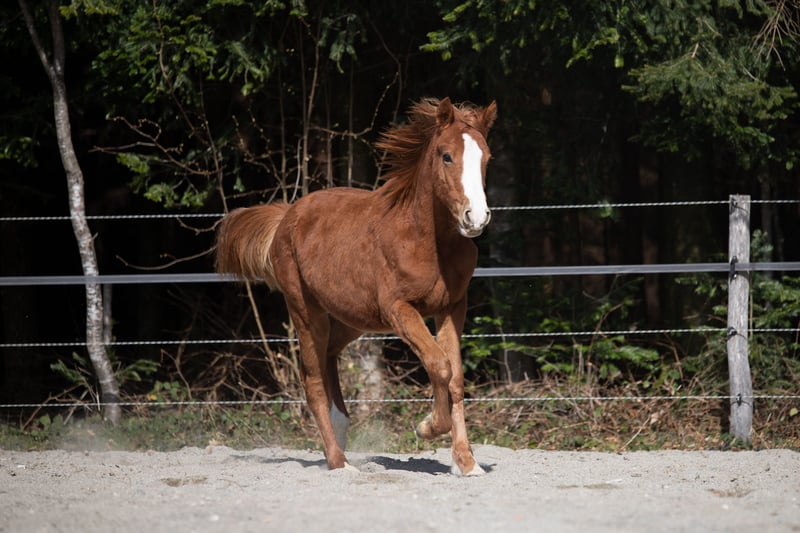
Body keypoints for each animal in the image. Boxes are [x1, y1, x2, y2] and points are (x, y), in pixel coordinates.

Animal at [215, 97, 497, 475]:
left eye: (486, 157)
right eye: (446, 155)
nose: (475, 218)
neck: (427, 240)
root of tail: (287, 216)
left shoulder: (452, 307)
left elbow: (455, 377)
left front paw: (466, 463)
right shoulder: (399, 310)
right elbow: (440, 364)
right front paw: (426, 427)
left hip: (352, 320)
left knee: (329, 357)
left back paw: (341, 435)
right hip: (306, 311)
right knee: (312, 380)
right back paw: (339, 462)